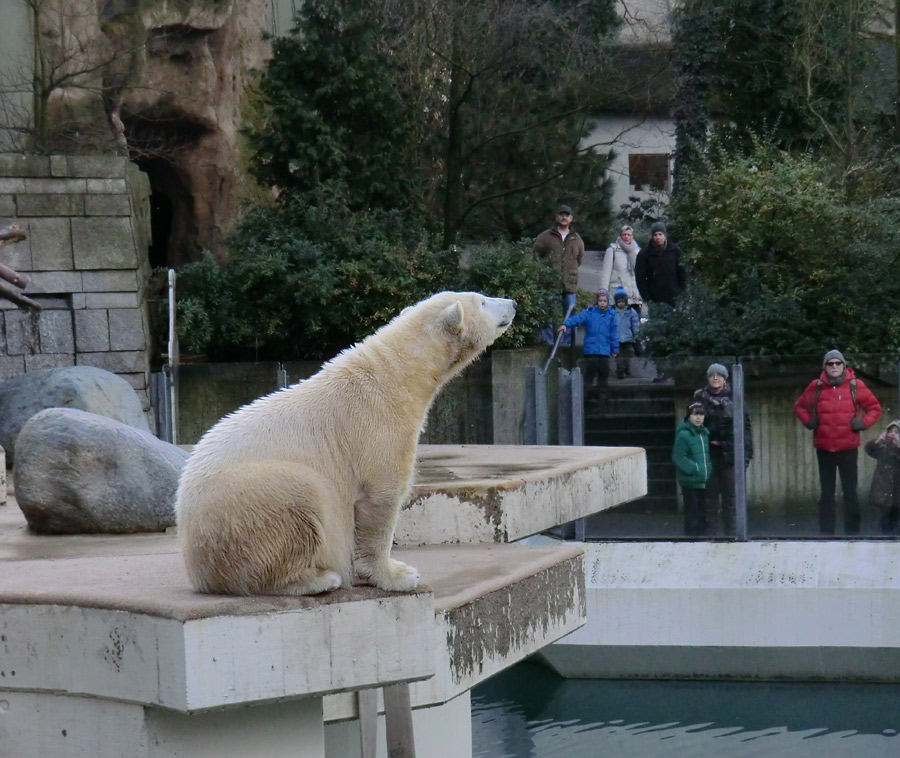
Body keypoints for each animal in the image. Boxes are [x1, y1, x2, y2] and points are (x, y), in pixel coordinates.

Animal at [173, 294, 516, 596]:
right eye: (482, 300)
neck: (395, 375)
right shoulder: (377, 426)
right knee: (304, 498)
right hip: (251, 501)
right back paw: (317, 579)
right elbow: (382, 497)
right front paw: (397, 574)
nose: (513, 303)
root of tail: (197, 568)